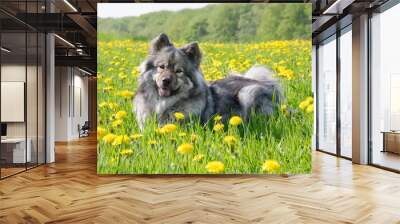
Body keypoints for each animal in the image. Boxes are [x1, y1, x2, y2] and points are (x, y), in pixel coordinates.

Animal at [134, 33, 282, 128]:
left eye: (179, 71)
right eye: (161, 67)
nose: (166, 80)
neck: (163, 103)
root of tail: (268, 84)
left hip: (247, 93)